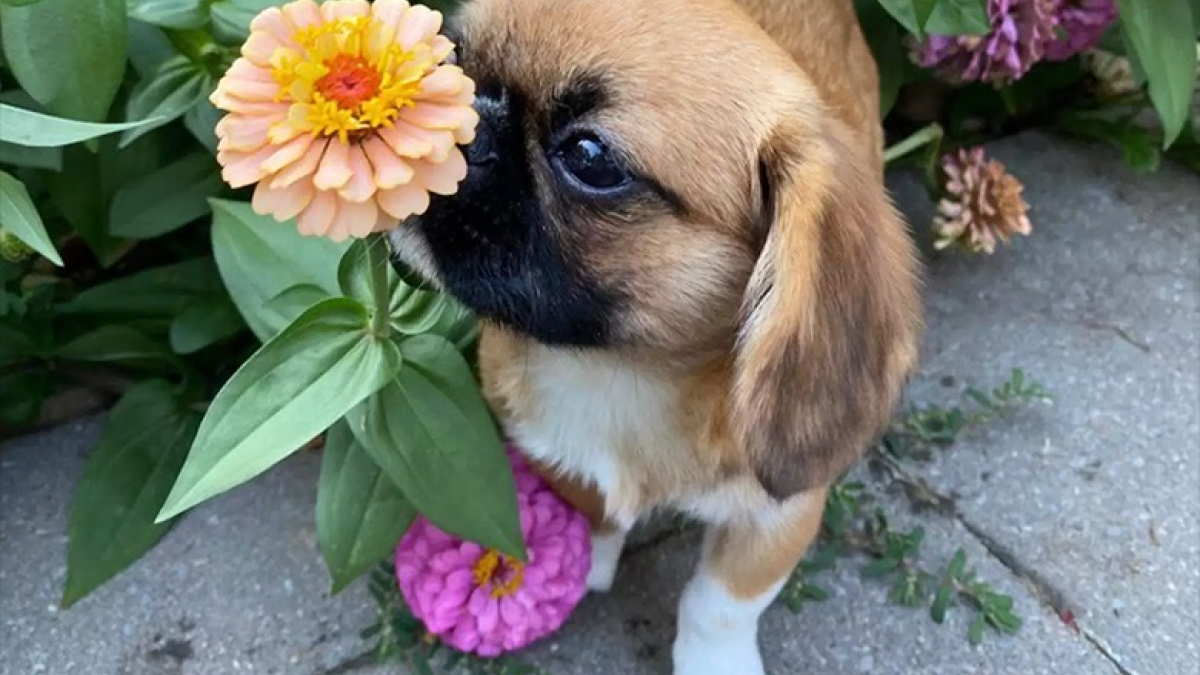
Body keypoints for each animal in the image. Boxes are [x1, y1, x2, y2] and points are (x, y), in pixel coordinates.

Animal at [388, 1, 921, 667]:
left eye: (590, 157)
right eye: (451, 59)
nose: (467, 117)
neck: (621, 367)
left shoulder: (777, 518)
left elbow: (718, 603)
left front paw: (714, 663)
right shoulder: (544, 443)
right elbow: (591, 501)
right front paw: (591, 558)